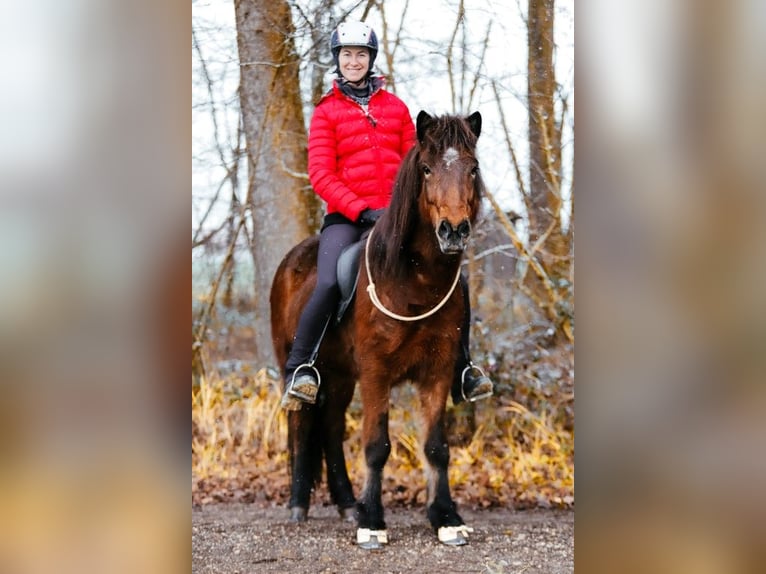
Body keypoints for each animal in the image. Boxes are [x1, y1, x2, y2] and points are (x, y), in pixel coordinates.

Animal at [270, 110, 484, 549]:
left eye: (473, 168)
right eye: (426, 168)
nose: (453, 231)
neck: (413, 283)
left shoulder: (438, 372)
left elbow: (436, 447)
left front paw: (446, 518)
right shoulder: (375, 372)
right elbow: (375, 445)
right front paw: (372, 522)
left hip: (339, 376)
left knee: (331, 428)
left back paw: (347, 504)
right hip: (297, 366)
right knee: (302, 425)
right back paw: (300, 504)